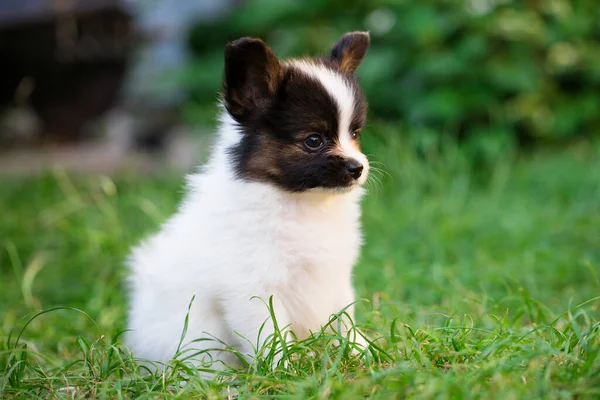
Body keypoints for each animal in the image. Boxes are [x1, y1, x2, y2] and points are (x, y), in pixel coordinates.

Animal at [125, 32, 370, 372]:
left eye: (355, 133)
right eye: (314, 140)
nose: (357, 167)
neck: (301, 202)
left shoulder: (333, 275)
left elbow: (344, 317)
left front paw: (360, 351)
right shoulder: (252, 288)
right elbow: (269, 334)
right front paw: (283, 371)